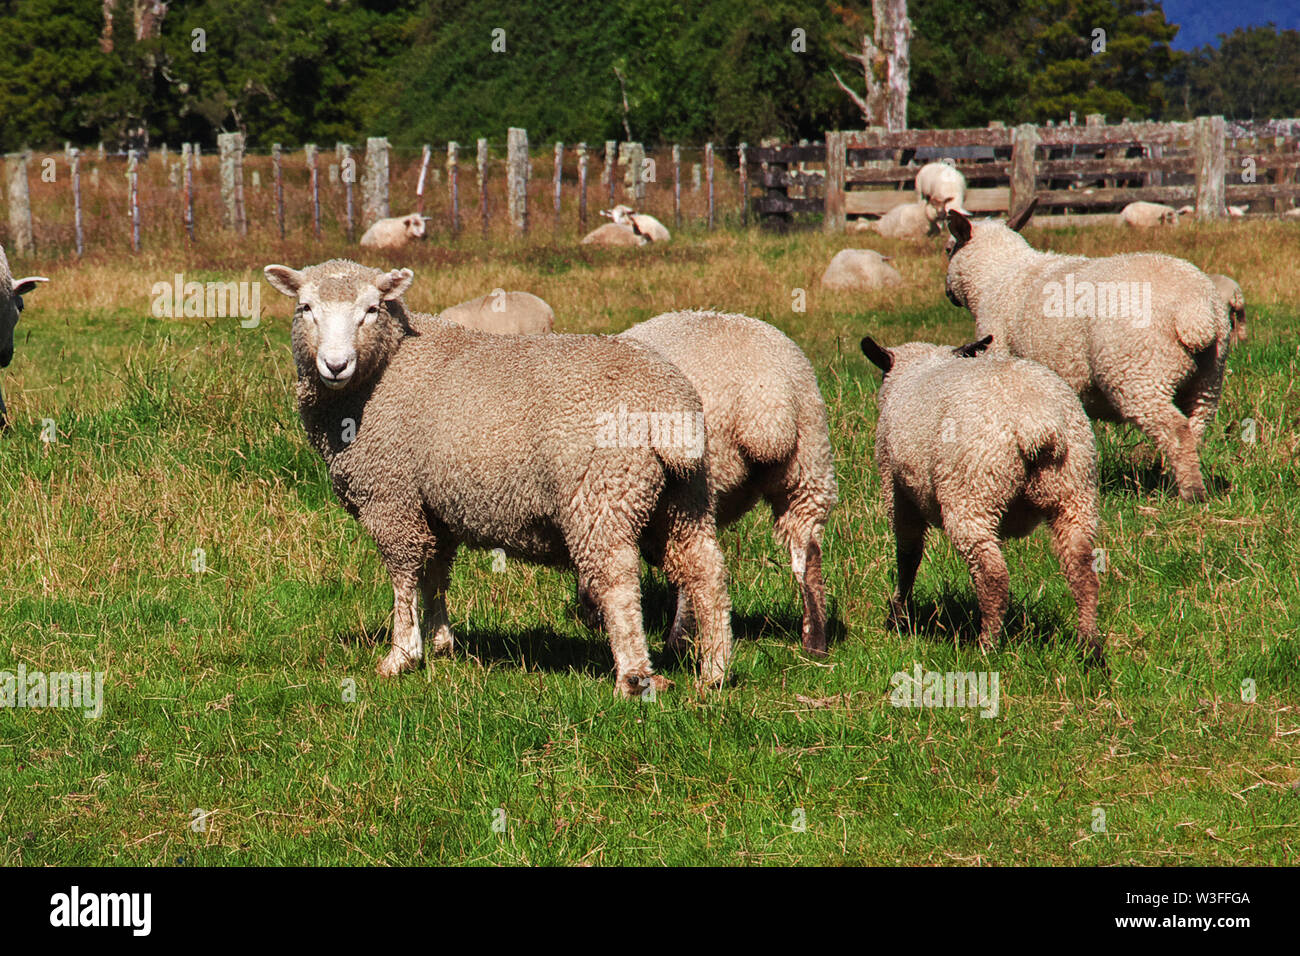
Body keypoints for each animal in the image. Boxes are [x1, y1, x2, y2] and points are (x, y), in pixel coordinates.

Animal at [262, 258, 734, 696]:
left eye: (371, 309)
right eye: (305, 308)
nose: (335, 364)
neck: (385, 369)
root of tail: (668, 403)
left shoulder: (390, 496)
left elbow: (404, 575)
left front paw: (401, 655)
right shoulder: (433, 505)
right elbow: (436, 572)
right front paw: (441, 642)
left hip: (601, 494)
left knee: (618, 583)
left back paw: (633, 678)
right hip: (684, 496)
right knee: (705, 570)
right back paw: (714, 670)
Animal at [616, 310, 839, 656]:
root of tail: (767, 400)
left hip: (703, 473)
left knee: (696, 564)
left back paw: (676, 641)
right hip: (807, 466)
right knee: (808, 554)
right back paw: (814, 643)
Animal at [860, 333, 1102, 659]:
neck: (922, 365)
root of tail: (1038, 423)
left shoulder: (897, 490)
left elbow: (908, 556)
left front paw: (900, 615)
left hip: (972, 492)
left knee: (993, 576)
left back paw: (987, 646)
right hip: (1074, 487)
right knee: (1082, 568)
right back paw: (1090, 647)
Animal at [944, 200, 1232, 502]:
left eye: (948, 248)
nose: (948, 293)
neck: (997, 275)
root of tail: (1195, 311)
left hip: (1138, 372)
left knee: (1175, 430)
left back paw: (1192, 493)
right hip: (1208, 379)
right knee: (1195, 428)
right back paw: (1175, 480)